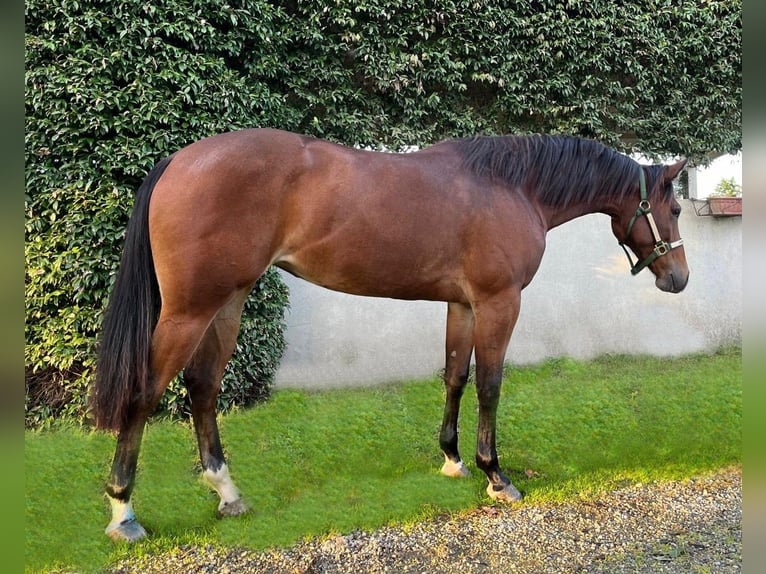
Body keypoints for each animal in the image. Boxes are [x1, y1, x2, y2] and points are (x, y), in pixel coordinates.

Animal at [91, 128, 688, 542]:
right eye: (676, 207)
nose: (679, 278)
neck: (511, 186)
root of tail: (179, 160)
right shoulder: (499, 302)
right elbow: (490, 383)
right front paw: (496, 475)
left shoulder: (462, 304)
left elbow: (455, 375)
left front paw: (452, 459)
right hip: (190, 310)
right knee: (145, 393)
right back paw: (124, 512)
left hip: (228, 302)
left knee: (203, 387)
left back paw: (227, 492)